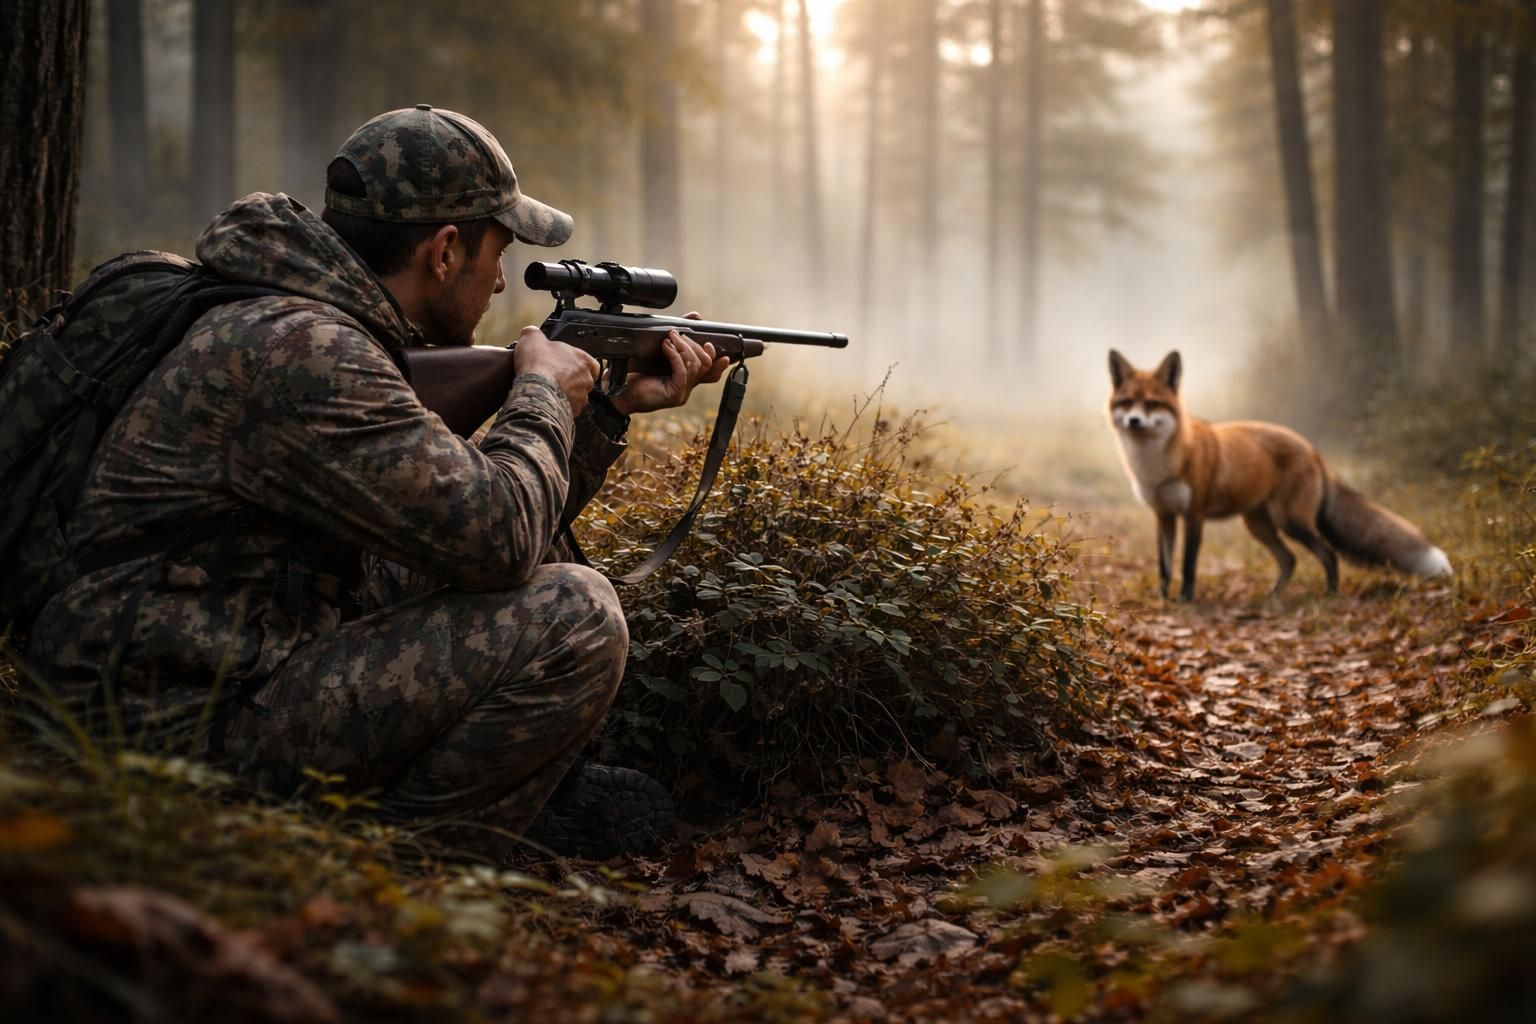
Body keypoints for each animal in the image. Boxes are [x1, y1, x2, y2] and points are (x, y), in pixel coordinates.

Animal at [1106, 349, 1452, 600]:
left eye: (1152, 404)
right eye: (1127, 402)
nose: (1134, 421)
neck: (1157, 463)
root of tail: (1311, 448)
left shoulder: (1194, 514)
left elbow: (1189, 566)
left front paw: (1186, 600)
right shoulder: (1163, 515)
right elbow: (1165, 567)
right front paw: (1164, 600)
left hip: (1291, 521)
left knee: (1327, 553)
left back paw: (1330, 594)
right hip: (1259, 524)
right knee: (1290, 560)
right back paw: (1273, 596)